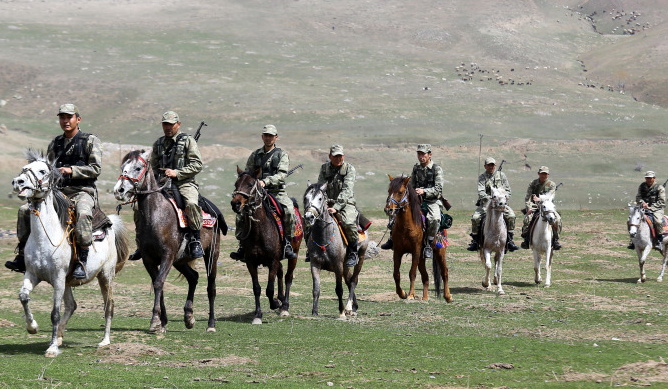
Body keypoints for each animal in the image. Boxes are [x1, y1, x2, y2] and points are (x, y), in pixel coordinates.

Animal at [10, 149, 129, 358]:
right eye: (25, 168)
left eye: (42, 171)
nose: (18, 182)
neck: (45, 238)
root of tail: (110, 225)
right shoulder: (32, 274)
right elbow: (23, 297)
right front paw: (33, 327)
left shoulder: (58, 279)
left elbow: (55, 313)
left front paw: (51, 348)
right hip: (69, 281)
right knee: (72, 305)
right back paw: (59, 336)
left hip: (105, 276)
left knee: (109, 306)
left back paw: (104, 341)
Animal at [111, 150, 223, 332]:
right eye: (122, 167)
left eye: (138, 167)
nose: (119, 190)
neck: (155, 216)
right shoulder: (149, 259)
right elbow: (158, 283)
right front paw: (162, 321)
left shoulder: (167, 256)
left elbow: (158, 283)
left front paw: (155, 321)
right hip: (180, 260)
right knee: (193, 277)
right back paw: (189, 317)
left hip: (211, 255)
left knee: (211, 287)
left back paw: (211, 324)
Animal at [230, 167, 302, 324]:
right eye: (236, 183)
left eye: (251, 184)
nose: (235, 204)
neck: (259, 231)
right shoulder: (251, 262)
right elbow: (256, 288)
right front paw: (258, 315)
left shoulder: (273, 260)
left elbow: (269, 289)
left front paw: (274, 303)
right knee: (281, 273)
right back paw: (280, 299)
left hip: (294, 254)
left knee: (288, 277)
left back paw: (284, 307)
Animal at [304, 183, 370, 316]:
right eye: (305, 198)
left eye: (320, 198)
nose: (309, 217)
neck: (323, 236)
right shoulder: (315, 264)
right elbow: (316, 289)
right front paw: (314, 311)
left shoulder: (337, 265)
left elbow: (339, 289)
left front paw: (341, 311)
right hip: (345, 265)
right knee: (349, 280)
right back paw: (354, 306)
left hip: (360, 258)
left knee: (353, 280)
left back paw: (349, 307)